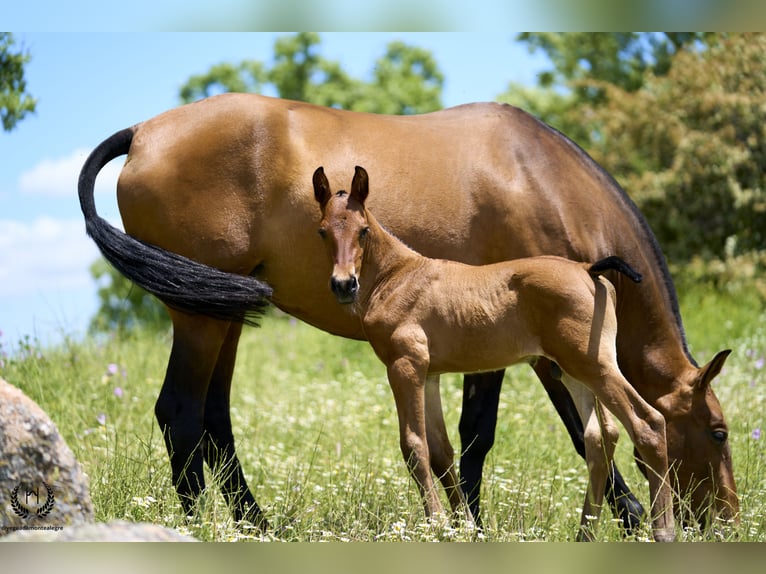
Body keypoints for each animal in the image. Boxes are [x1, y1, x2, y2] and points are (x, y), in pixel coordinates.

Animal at [76, 91, 736, 536]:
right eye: (719, 431)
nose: (727, 518)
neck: (541, 180)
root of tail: (143, 132)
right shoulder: (539, 352)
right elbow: (516, 436)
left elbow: (479, 439)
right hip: (199, 320)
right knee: (182, 414)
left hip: (223, 316)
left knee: (215, 420)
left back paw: (256, 526)